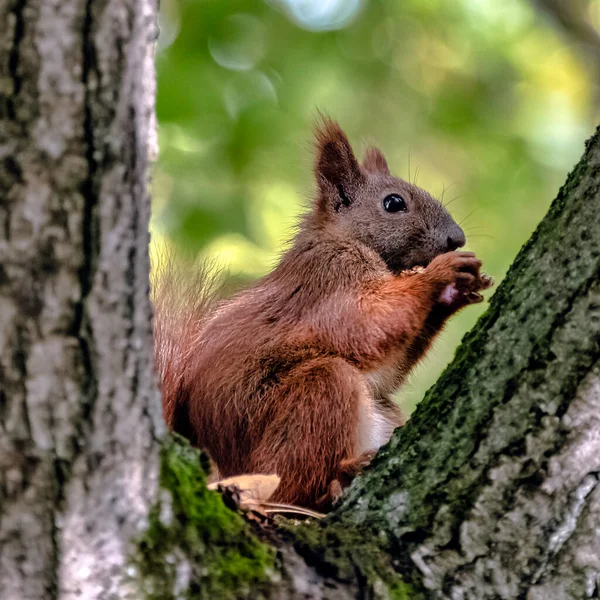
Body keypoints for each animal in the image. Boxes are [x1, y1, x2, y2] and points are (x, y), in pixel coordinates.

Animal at [155, 118, 492, 510]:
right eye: (394, 203)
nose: (457, 238)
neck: (343, 238)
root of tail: (227, 474)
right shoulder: (331, 279)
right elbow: (367, 324)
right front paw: (440, 275)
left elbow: (386, 369)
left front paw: (455, 292)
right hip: (316, 397)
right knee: (293, 487)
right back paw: (337, 479)